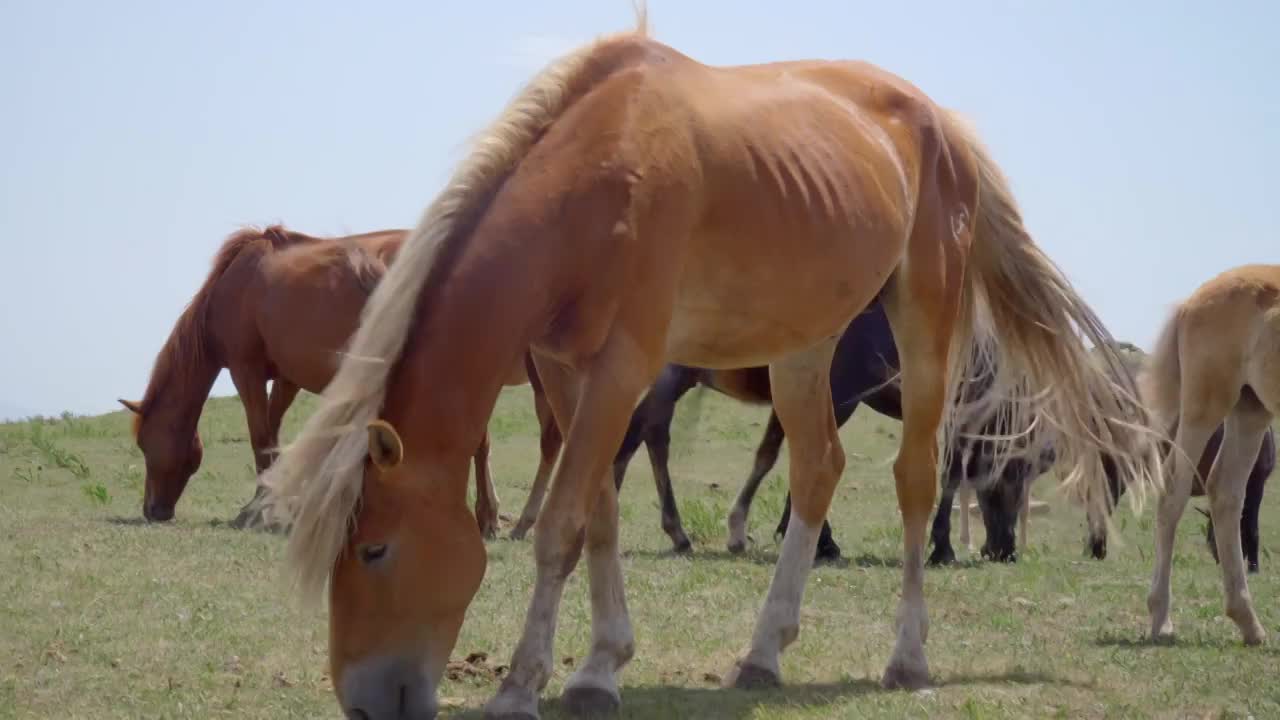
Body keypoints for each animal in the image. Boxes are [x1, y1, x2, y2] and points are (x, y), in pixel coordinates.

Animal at [119, 224, 555, 532]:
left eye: (144, 444)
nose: (152, 510)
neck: (236, 284)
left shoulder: (246, 370)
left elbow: (260, 438)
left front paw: (258, 511)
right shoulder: (287, 378)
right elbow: (273, 437)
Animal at [259, 15, 1162, 717]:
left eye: (374, 550)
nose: (365, 704)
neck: (600, 174)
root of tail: (941, 122)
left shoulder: (623, 367)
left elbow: (560, 523)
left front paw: (521, 685)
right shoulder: (567, 370)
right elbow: (598, 513)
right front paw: (599, 667)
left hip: (926, 326)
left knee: (914, 480)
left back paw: (907, 659)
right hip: (805, 344)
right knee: (817, 467)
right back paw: (763, 652)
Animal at [1141, 263, 1280, 645]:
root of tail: (1190, 302)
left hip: (1250, 410)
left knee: (1226, 492)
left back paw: (1248, 623)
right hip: (1204, 407)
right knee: (1173, 490)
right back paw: (1161, 618)